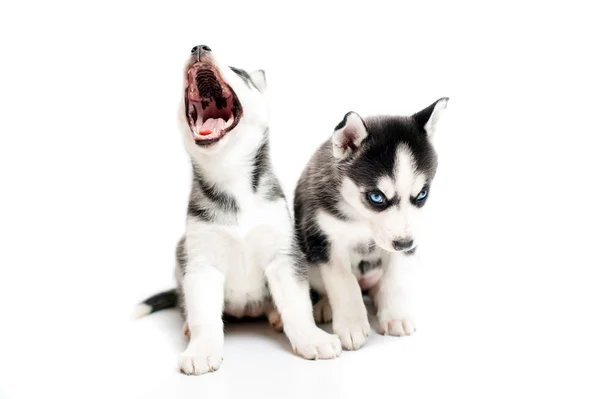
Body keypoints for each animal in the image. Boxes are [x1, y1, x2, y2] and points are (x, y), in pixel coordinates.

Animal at [137, 45, 342, 376]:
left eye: (238, 72)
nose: (198, 47)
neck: (231, 178)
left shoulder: (283, 255)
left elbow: (297, 305)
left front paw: (311, 338)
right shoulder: (202, 264)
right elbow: (205, 317)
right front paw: (201, 349)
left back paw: (275, 314)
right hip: (182, 252)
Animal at [292, 98, 448, 352]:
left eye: (422, 194)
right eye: (376, 197)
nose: (404, 243)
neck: (362, 219)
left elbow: (396, 278)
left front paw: (395, 316)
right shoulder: (324, 239)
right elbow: (344, 281)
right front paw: (352, 325)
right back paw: (325, 305)